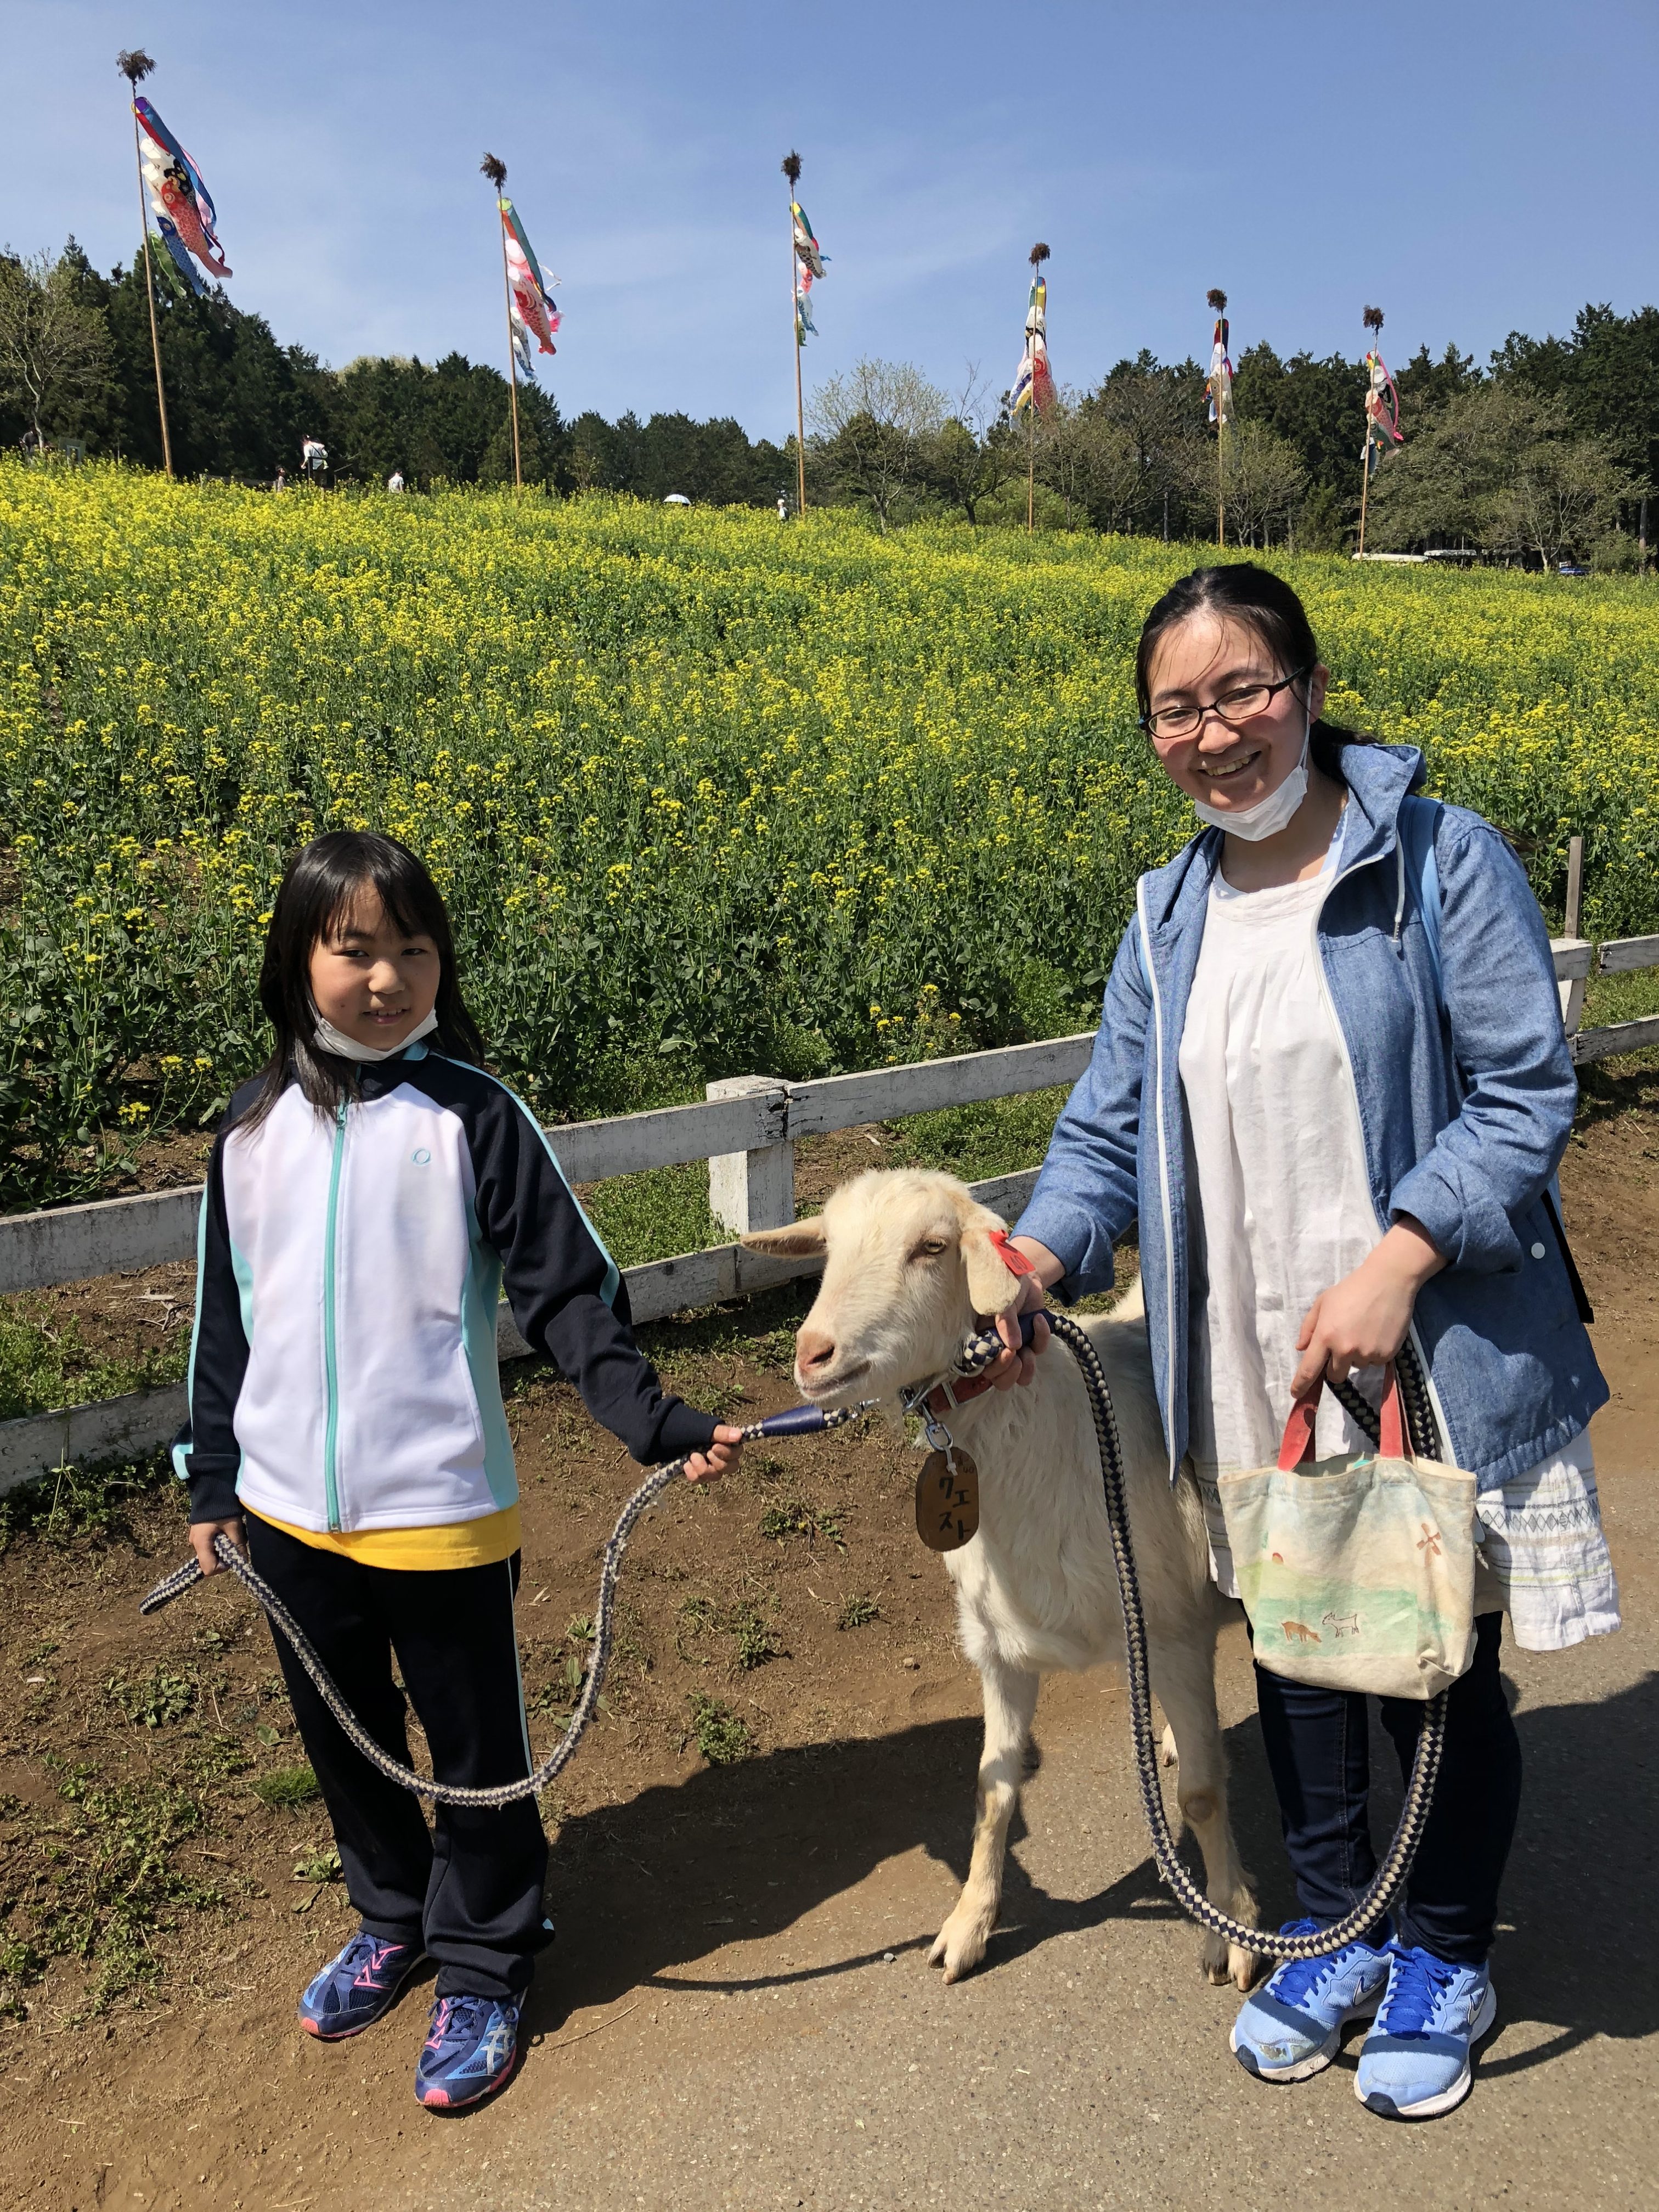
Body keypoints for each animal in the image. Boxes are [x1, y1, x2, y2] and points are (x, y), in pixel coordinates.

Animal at [744, 1169, 1259, 1990]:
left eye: (932, 1247)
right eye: (828, 1245)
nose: (814, 1353)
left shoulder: (1173, 1632)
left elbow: (1205, 1795)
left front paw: (1232, 1927)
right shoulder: (999, 1647)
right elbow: (992, 1790)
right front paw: (968, 1925)